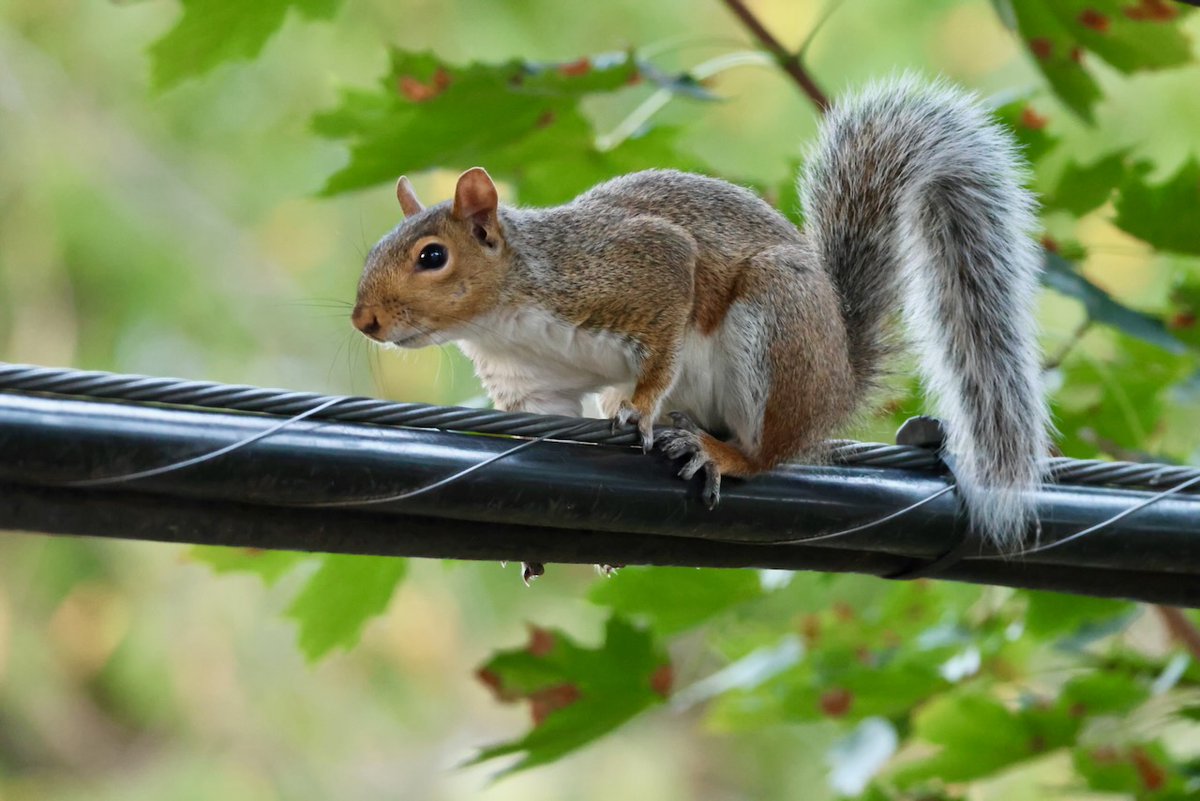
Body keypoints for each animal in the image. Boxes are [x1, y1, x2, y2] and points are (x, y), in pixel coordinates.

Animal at [352, 75, 1050, 549]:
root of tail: (838, 380)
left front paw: (640, 407)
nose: (365, 322)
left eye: (433, 256)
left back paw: (722, 453)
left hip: (775, 326)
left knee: (769, 451)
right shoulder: (532, 383)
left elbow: (665, 331)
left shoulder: (636, 269)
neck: (503, 318)